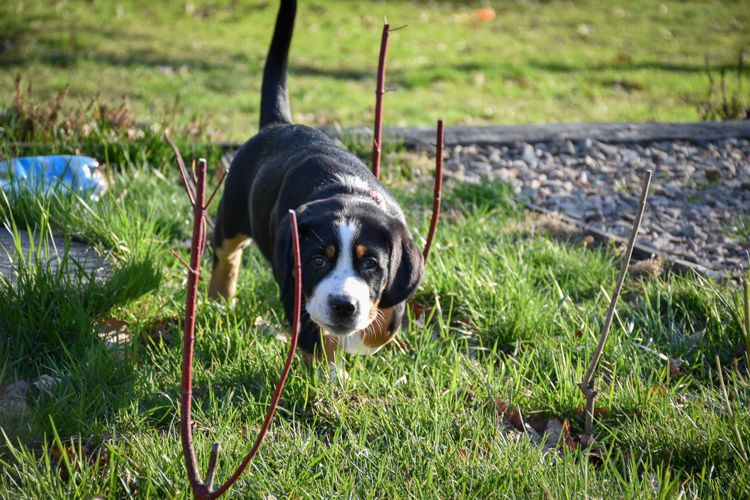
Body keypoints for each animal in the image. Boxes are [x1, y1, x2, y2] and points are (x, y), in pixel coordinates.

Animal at [209, 0, 426, 362]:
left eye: (370, 263)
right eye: (317, 260)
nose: (343, 305)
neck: (349, 191)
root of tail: (279, 124)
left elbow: (386, 320)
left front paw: (365, 335)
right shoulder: (295, 285)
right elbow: (318, 343)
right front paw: (335, 368)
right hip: (232, 213)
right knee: (226, 255)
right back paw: (219, 300)